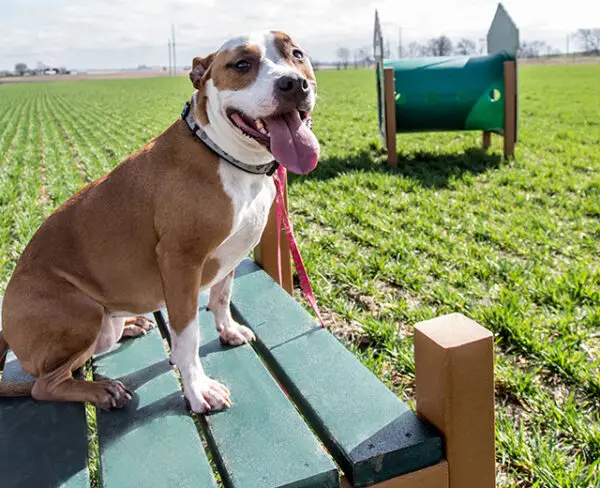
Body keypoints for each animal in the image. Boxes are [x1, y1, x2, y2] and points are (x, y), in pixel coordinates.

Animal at [0, 31, 322, 412]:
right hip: (81, 313)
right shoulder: (180, 263)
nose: (294, 83)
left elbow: (222, 296)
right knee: (45, 385)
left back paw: (130, 325)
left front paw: (228, 331)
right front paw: (198, 389)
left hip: (101, 324)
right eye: (242, 64)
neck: (226, 156)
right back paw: (101, 390)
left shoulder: (229, 255)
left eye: (297, 54)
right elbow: (187, 337)